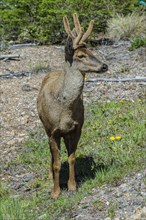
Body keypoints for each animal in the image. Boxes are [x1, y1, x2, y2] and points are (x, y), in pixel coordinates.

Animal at [37, 13, 108, 199]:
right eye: (81, 55)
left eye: (92, 51)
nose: (104, 65)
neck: (64, 109)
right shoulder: (52, 130)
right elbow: (56, 163)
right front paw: (55, 192)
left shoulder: (77, 128)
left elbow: (72, 158)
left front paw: (72, 186)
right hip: (46, 128)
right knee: (51, 154)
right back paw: (50, 175)